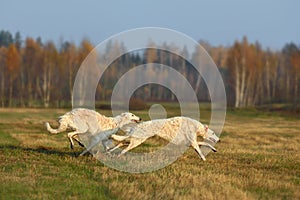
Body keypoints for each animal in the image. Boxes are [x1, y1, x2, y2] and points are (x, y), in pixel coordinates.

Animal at [81, 115, 219, 161]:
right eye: (213, 133)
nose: (219, 139)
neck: (197, 126)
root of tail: (138, 126)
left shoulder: (191, 143)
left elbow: (205, 144)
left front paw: (214, 149)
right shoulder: (193, 143)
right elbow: (200, 150)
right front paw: (204, 159)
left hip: (135, 140)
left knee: (121, 143)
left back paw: (110, 152)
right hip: (136, 142)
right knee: (123, 148)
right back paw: (118, 156)